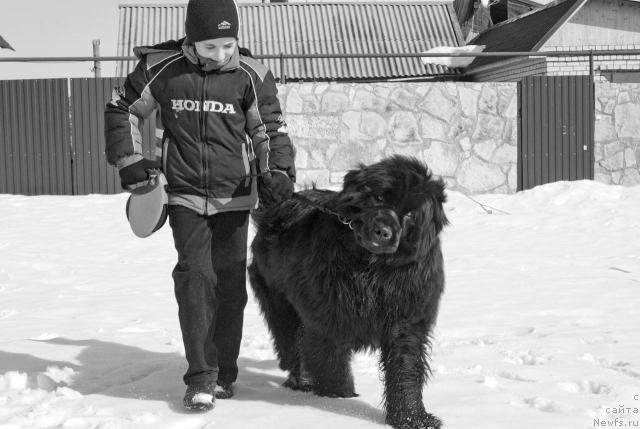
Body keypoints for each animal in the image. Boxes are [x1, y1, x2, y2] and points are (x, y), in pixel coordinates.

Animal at [248, 155, 448, 428]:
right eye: (379, 197)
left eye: (409, 215)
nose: (383, 231)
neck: (372, 269)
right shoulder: (326, 316)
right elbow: (329, 359)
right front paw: (337, 398)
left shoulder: (407, 318)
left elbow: (405, 367)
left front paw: (411, 417)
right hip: (279, 299)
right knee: (290, 341)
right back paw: (301, 380)